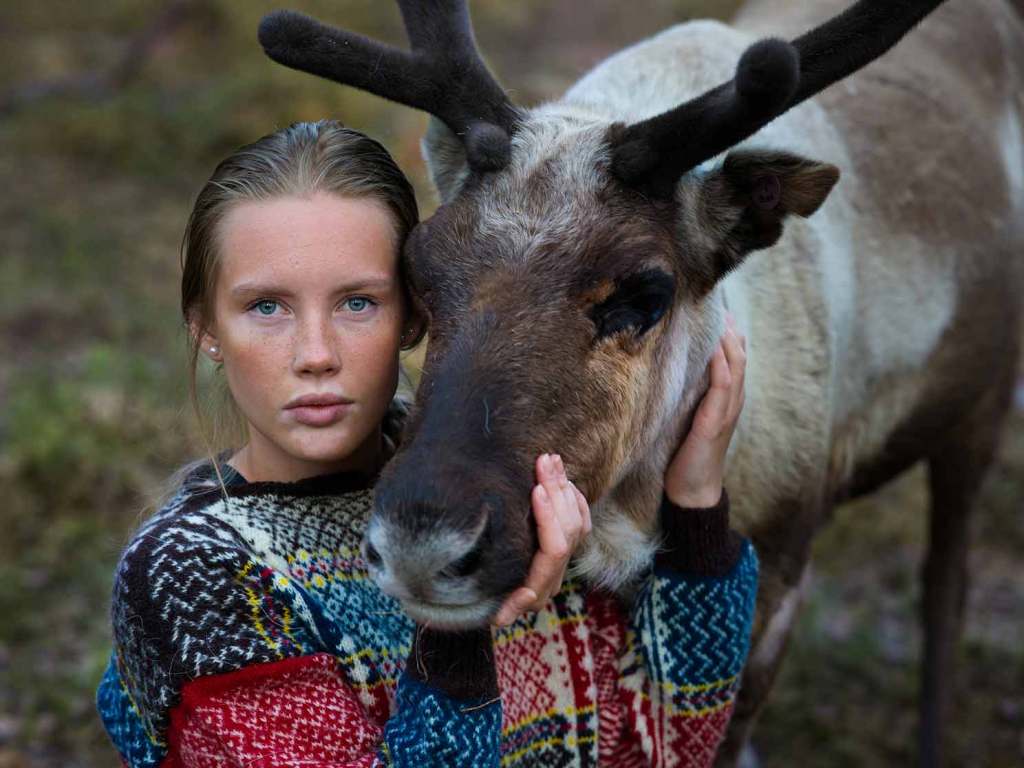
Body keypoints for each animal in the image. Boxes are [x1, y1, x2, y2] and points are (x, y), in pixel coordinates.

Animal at [257, 0, 1024, 764]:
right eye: (417, 264)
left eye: (645, 293)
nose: (423, 545)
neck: (635, 514)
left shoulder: (780, 575)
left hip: (980, 406)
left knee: (945, 582)